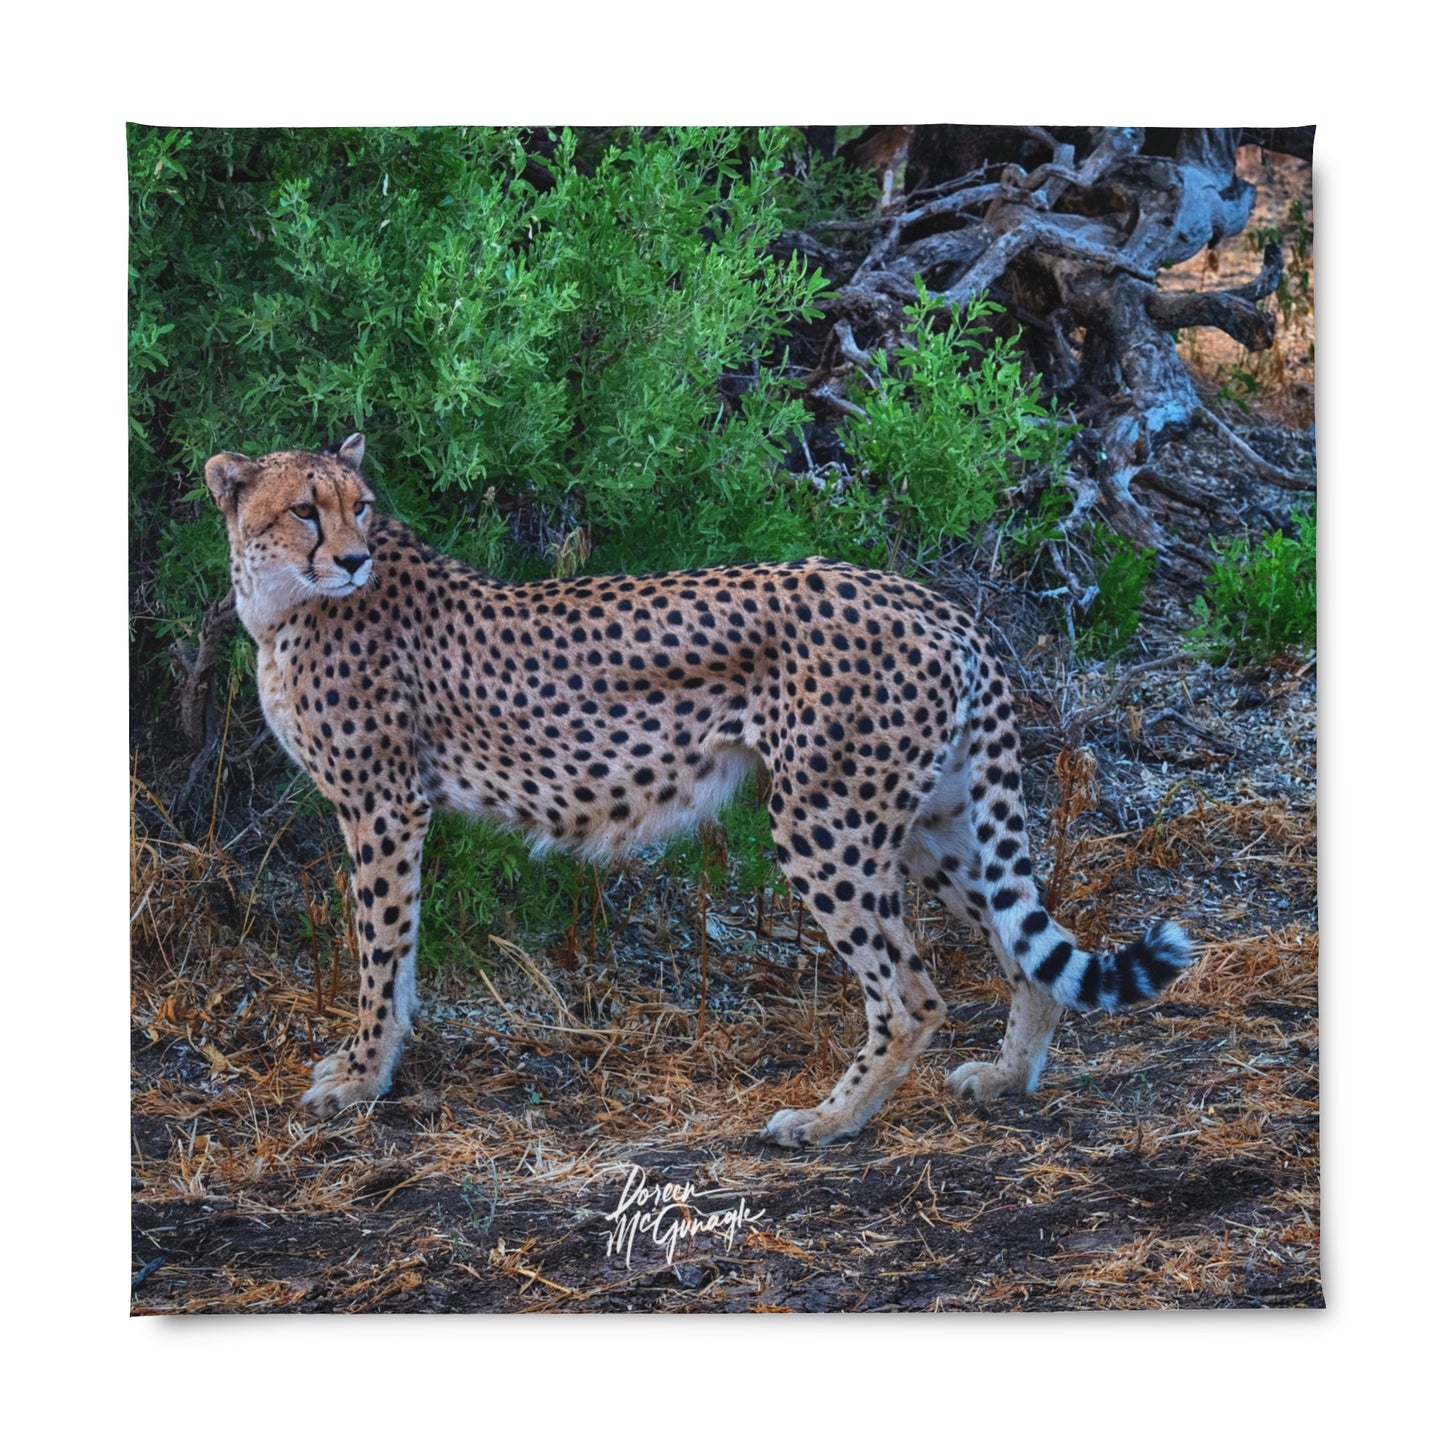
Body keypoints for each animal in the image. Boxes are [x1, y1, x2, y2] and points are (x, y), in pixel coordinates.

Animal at [205, 432, 1191, 1146]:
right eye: (305, 509)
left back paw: (827, 1120)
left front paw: (361, 1076)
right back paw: (1006, 1077)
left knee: (912, 993)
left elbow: (379, 948)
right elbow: (399, 954)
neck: (283, 601)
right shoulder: (391, 807)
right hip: (930, 819)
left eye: (359, 506)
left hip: (823, 820)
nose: (353, 558)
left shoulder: (382, 804)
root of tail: (933, 601)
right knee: (1025, 946)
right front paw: (375, 1064)